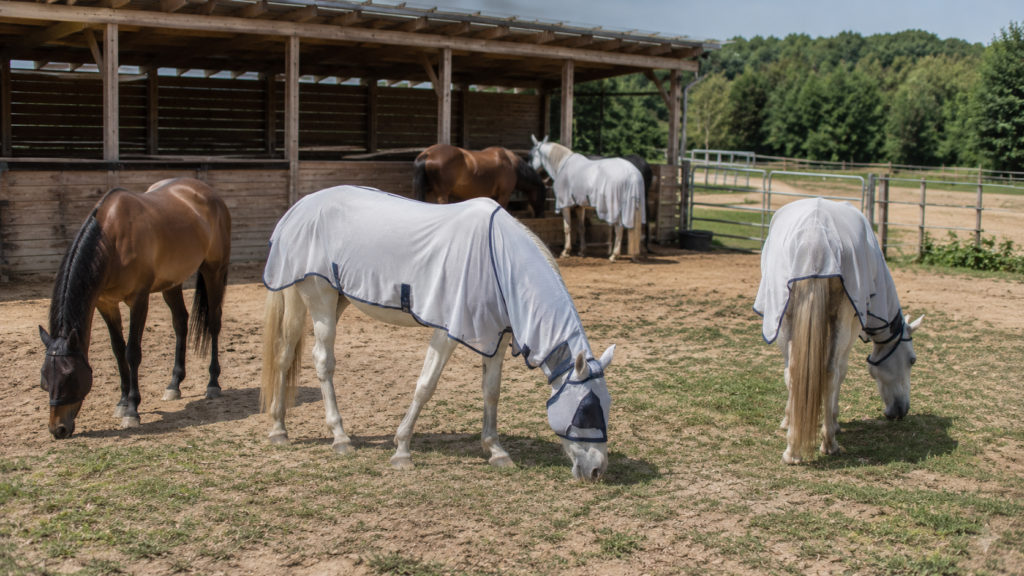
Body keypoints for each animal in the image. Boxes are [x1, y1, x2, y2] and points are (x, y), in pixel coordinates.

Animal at [38, 178, 231, 438]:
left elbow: (132, 352)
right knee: (181, 323)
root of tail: (208, 192)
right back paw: (174, 384)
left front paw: (132, 410)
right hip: (172, 282)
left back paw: (213, 383)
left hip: (214, 272)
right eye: (44, 376)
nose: (58, 429)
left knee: (213, 324)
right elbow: (118, 350)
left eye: (70, 376)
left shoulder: (139, 300)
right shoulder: (106, 303)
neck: (111, 240)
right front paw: (122, 402)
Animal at [261, 186, 615, 481]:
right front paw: (402, 450)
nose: (597, 471)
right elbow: (426, 386)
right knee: (322, 361)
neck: (501, 263)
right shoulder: (447, 332)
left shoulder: (496, 338)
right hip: (319, 298)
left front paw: (496, 450)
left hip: (332, 300)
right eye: (586, 410)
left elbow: (491, 391)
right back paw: (340, 437)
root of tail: (301, 207)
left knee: (285, 354)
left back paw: (279, 429)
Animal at [413, 144, 547, 218]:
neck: (511, 164)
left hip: (429, 192)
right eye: (543, 194)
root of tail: (428, 153)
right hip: (442, 195)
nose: (541, 215)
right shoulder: (504, 195)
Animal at [753, 197, 923, 464]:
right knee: (831, 373)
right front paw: (833, 423)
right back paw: (829, 444)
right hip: (842, 318)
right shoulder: (853, 323)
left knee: (793, 371)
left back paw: (792, 451)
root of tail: (816, 239)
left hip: (783, 313)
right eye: (912, 360)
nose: (901, 411)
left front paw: (789, 419)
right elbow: (841, 372)